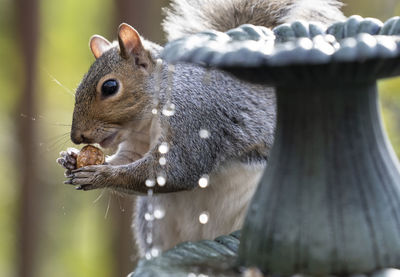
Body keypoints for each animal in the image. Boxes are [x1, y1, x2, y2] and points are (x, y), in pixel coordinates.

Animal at [55, 0, 344, 254]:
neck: (149, 118)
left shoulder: (194, 118)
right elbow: (128, 160)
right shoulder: (135, 145)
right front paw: (70, 158)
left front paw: (98, 176)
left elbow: (176, 169)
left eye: (110, 87)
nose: (77, 136)